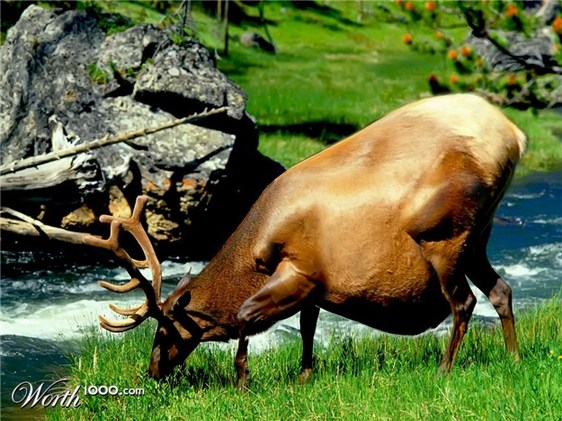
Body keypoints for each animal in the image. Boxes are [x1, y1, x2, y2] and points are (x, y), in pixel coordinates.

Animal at [83, 93, 520, 386]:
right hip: (477, 240)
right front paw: (304, 375)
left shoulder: (300, 269)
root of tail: (515, 136)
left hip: (445, 237)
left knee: (464, 302)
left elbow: (245, 316)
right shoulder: (315, 287)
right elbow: (308, 328)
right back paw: (514, 355)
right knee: (501, 290)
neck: (255, 253)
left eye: (163, 331)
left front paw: (243, 381)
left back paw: (444, 369)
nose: (152, 371)